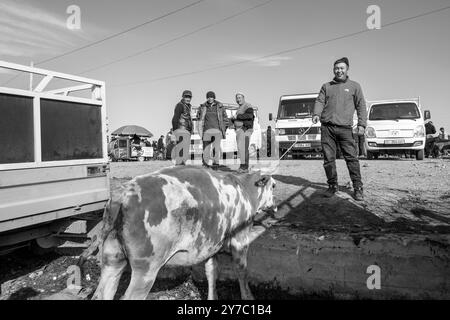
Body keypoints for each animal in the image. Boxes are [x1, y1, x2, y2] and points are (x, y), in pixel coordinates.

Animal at [92, 165, 276, 300]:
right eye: (273, 186)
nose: (274, 206)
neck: (244, 189)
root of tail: (123, 194)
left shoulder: (210, 245)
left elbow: (211, 272)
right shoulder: (240, 240)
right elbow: (242, 271)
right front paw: (248, 297)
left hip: (112, 258)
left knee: (101, 294)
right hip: (146, 267)